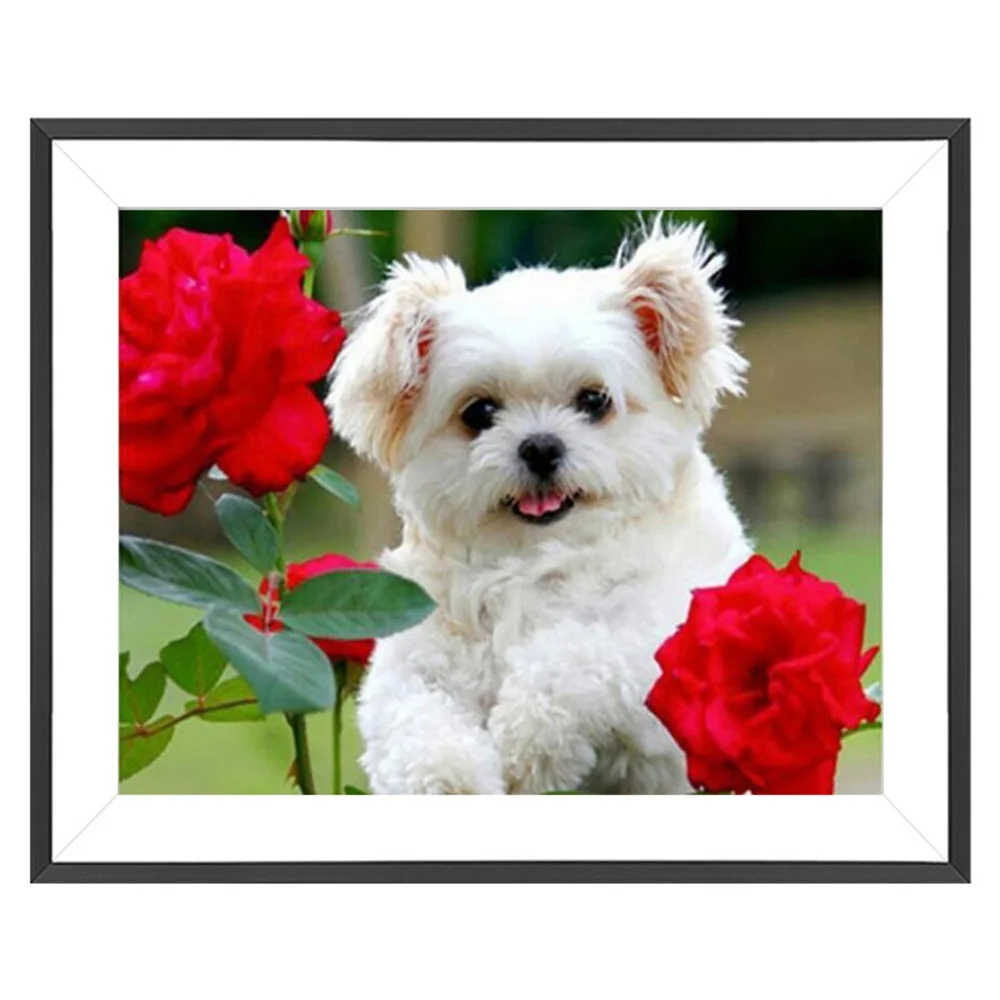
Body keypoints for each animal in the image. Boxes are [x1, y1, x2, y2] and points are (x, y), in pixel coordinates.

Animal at [328, 217, 751, 793]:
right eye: (479, 412)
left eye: (594, 400)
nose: (541, 446)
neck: (533, 562)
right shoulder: (415, 656)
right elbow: (414, 719)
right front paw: (450, 775)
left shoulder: (664, 637)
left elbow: (576, 654)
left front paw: (524, 742)